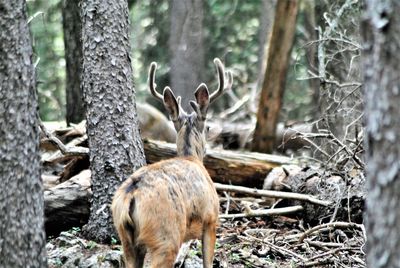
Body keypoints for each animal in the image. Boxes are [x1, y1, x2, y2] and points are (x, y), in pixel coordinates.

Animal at [111, 57, 233, 266]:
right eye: (208, 127)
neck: (191, 157)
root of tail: (131, 195)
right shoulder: (211, 218)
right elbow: (207, 262)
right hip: (166, 236)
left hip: (125, 238)